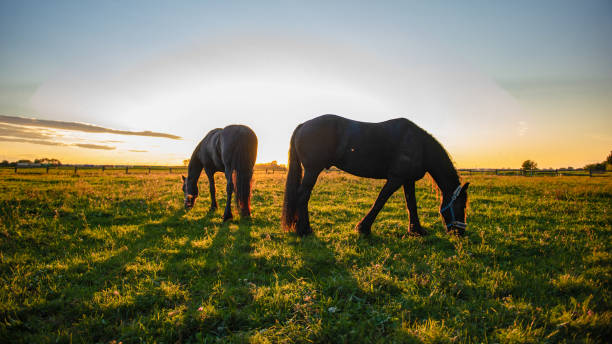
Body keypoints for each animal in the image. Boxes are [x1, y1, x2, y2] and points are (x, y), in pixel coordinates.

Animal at [280, 115, 468, 236]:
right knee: (302, 196)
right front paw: (363, 228)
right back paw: (304, 230)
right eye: (461, 206)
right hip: (312, 170)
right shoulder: (395, 179)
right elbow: (380, 201)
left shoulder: (408, 180)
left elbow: (411, 205)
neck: (419, 145)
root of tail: (303, 124)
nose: (460, 232)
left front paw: (416, 230)